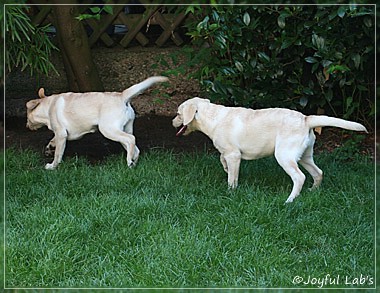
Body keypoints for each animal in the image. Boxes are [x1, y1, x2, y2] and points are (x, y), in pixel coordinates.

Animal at [26, 76, 168, 169]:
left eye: (27, 117)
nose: (26, 126)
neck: (49, 105)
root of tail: (122, 96)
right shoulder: (64, 134)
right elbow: (53, 140)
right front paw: (49, 147)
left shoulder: (61, 134)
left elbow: (58, 154)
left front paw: (52, 166)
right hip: (123, 129)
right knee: (134, 146)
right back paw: (133, 162)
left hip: (108, 129)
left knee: (131, 139)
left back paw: (129, 161)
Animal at [174, 98, 366, 203]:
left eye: (178, 114)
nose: (172, 121)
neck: (212, 116)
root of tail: (306, 119)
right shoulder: (229, 153)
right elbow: (223, 160)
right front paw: (226, 169)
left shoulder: (233, 154)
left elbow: (232, 178)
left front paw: (230, 191)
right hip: (304, 156)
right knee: (318, 172)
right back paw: (313, 192)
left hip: (284, 155)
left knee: (300, 177)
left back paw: (289, 201)